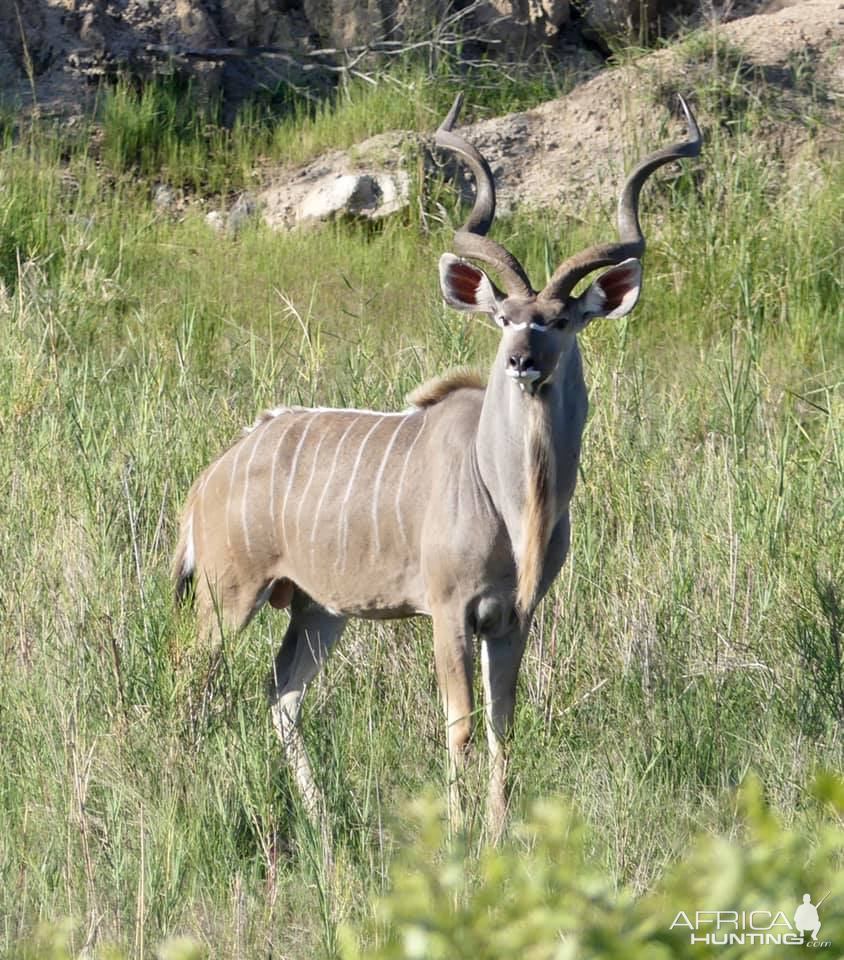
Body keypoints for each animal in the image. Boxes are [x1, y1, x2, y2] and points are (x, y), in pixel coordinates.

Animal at [171, 92, 700, 840]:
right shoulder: (448, 612)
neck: (511, 500)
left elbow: (505, 725)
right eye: (504, 316)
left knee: (282, 693)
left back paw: (323, 822)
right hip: (230, 596)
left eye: (562, 320)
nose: (522, 360)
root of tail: (210, 478)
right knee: (191, 678)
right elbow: (460, 725)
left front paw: (498, 833)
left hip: (317, 608)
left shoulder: (512, 618)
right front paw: (454, 833)